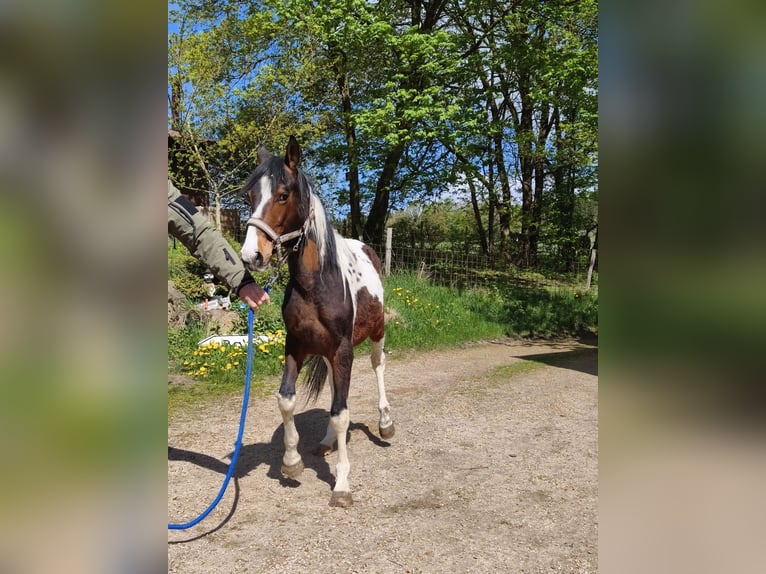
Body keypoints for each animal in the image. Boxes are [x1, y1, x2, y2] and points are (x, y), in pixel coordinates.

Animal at [239, 136, 394, 507]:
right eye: (249, 196)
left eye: (283, 194)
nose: (252, 255)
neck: (316, 284)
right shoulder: (296, 344)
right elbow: (287, 399)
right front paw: (291, 461)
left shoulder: (342, 349)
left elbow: (341, 413)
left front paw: (342, 485)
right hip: (328, 352)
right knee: (338, 393)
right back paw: (325, 442)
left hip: (375, 333)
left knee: (378, 367)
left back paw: (385, 423)